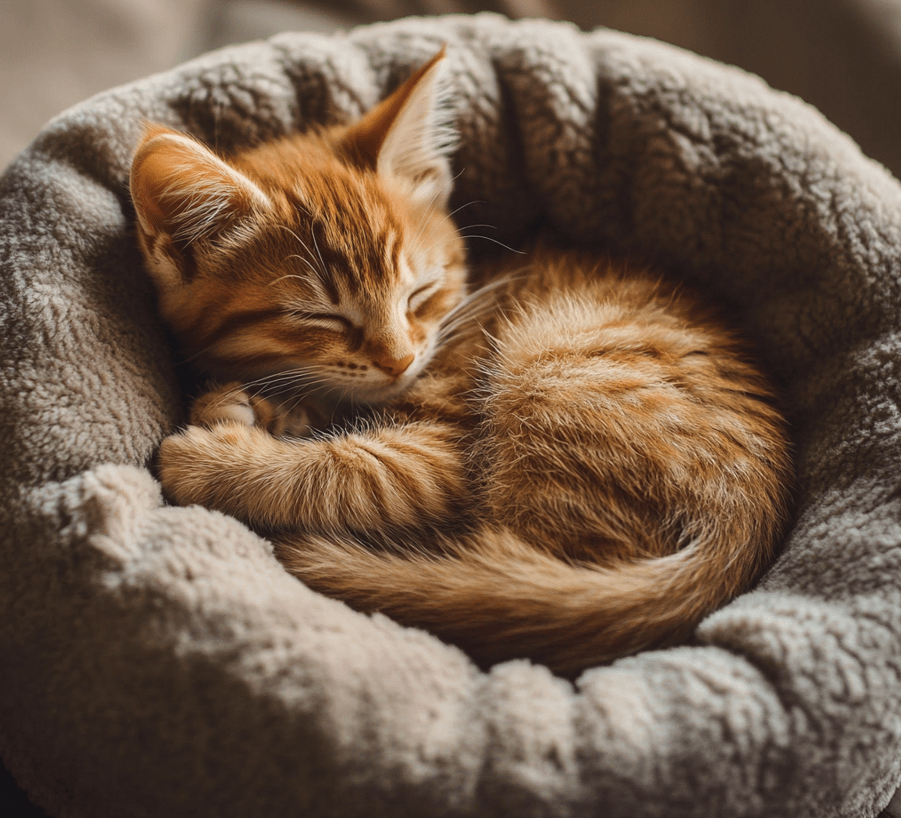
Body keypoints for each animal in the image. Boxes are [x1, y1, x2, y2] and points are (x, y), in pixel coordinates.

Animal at [130, 52, 792, 676]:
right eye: (322, 317)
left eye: (420, 293)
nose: (399, 359)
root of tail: (744, 525)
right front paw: (259, 406)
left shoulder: (441, 452)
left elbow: (350, 473)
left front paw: (220, 458)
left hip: (549, 371)